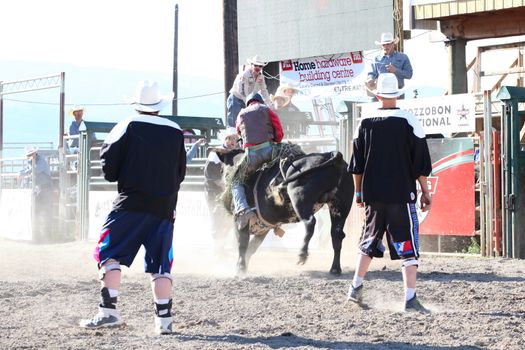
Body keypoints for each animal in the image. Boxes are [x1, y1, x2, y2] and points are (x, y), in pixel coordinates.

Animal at [219, 149, 354, 274]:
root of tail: (331, 154)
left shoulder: (240, 220)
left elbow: (242, 244)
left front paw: (240, 268)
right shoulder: (263, 229)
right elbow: (252, 247)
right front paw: (244, 266)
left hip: (298, 196)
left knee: (310, 222)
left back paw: (302, 254)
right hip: (340, 205)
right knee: (337, 234)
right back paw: (335, 268)